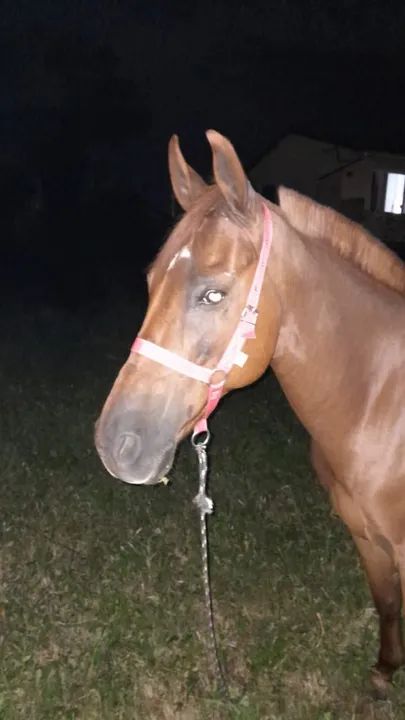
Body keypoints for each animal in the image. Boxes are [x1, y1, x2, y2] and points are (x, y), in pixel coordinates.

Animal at [95, 130, 405, 696]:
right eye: (151, 282)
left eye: (213, 293)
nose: (117, 443)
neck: (379, 399)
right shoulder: (368, 538)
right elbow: (387, 602)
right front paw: (385, 672)